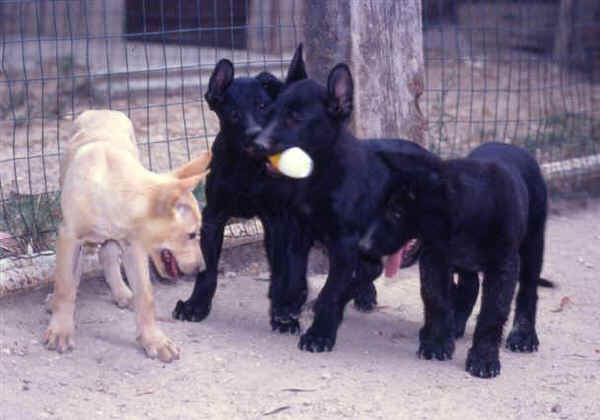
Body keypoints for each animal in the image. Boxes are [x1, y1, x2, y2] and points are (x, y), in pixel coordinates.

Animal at [171, 46, 376, 334]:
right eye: (233, 113)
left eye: (264, 109)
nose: (255, 135)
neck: (247, 168)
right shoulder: (214, 217)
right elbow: (208, 269)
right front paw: (196, 306)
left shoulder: (277, 221)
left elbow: (281, 271)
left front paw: (283, 315)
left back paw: (363, 294)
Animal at [253, 62, 426, 352]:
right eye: (270, 113)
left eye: (296, 118)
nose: (257, 145)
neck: (320, 174)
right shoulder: (298, 234)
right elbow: (294, 274)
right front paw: (287, 309)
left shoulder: (345, 243)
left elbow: (331, 291)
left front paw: (320, 334)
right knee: (370, 269)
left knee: (369, 270)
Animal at [358, 141, 552, 378]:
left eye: (397, 213)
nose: (364, 246)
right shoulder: (435, 258)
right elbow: (436, 299)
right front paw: (437, 344)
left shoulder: (504, 265)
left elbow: (492, 312)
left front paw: (483, 359)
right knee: (470, 285)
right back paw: (455, 325)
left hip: (533, 243)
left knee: (528, 290)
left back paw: (523, 336)